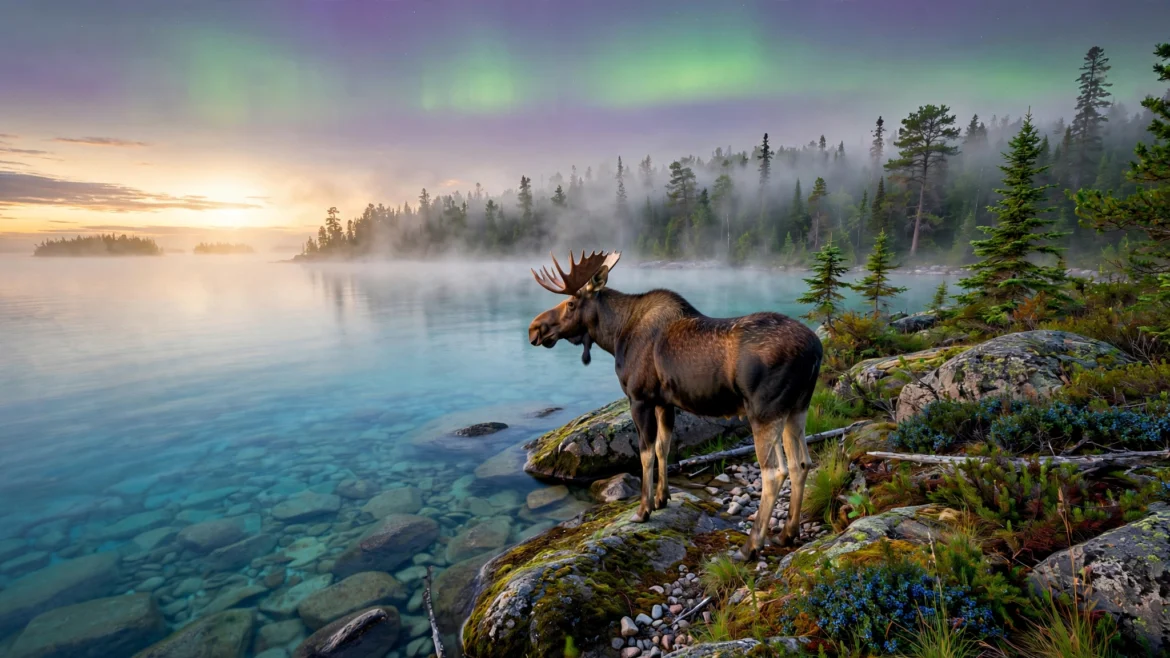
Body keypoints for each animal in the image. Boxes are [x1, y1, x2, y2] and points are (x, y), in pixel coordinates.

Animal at [527, 250, 823, 560]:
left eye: (571, 303)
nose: (534, 329)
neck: (615, 335)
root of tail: (816, 349)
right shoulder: (664, 403)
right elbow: (663, 447)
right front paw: (662, 498)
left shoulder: (640, 398)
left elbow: (645, 454)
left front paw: (643, 510)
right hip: (797, 408)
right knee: (801, 463)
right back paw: (788, 533)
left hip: (764, 412)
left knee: (774, 472)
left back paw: (750, 546)